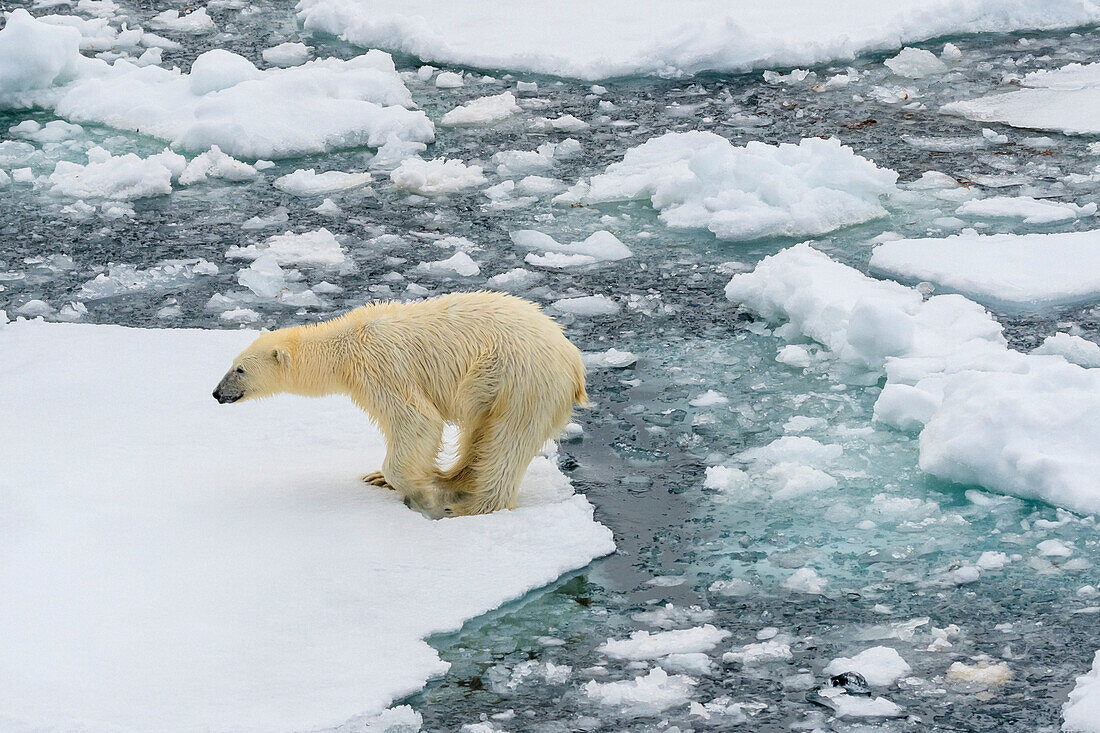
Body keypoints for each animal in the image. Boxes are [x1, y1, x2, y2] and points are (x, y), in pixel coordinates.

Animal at [216, 288, 594, 517]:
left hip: (521, 382)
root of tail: (573, 360)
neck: (346, 345)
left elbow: (417, 420)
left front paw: (422, 494)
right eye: (231, 362)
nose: (217, 393)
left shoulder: (382, 368)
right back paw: (450, 479)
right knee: (479, 436)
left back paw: (469, 507)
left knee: (506, 442)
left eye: (240, 369)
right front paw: (380, 477)